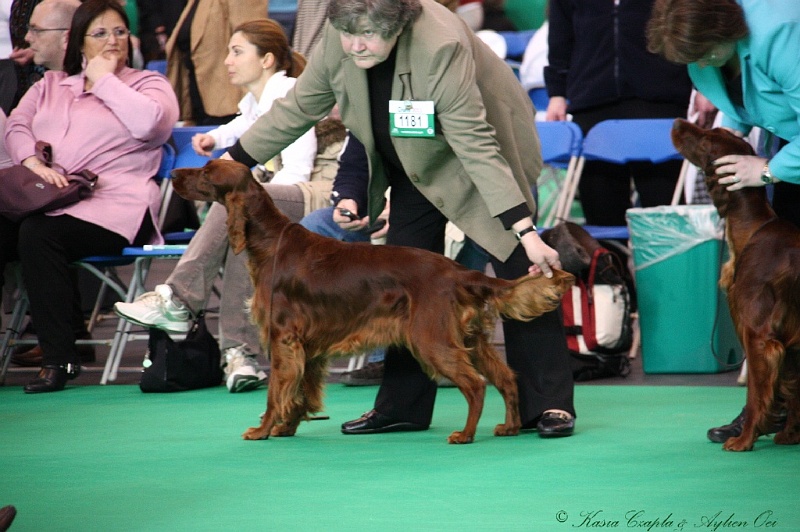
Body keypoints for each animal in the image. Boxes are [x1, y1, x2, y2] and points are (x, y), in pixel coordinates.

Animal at [173, 160, 576, 442]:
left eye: (207, 173)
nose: (175, 173)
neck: (270, 242)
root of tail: (459, 272)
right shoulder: (309, 344)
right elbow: (302, 390)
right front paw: (287, 427)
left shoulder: (283, 337)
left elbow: (276, 392)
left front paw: (262, 430)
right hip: (471, 338)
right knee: (506, 378)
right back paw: (509, 427)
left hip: (431, 339)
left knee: (476, 385)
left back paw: (465, 435)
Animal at [668, 118, 800, 450]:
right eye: (719, 131)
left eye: (706, 140)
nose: (678, 121)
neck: (753, 228)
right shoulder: (790, 344)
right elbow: (792, 390)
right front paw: (790, 435)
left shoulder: (757, 336)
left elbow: (756, 393)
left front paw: (744, 439)